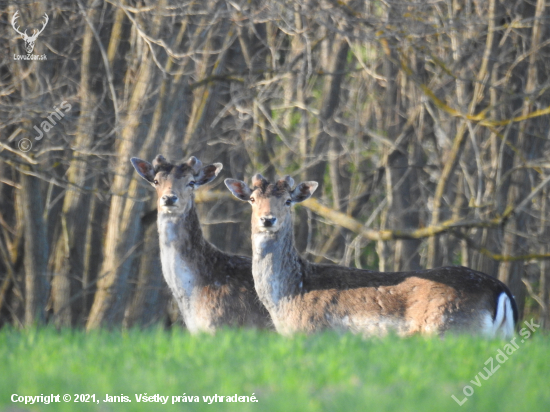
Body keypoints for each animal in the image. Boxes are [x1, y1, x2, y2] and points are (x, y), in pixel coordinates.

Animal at [226, 174, 520, 338]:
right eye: (252, 199)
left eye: (288, 200)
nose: (268, 219)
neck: (286, 299)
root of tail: (501, 291)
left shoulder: (313, 333)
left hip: (453, 330)